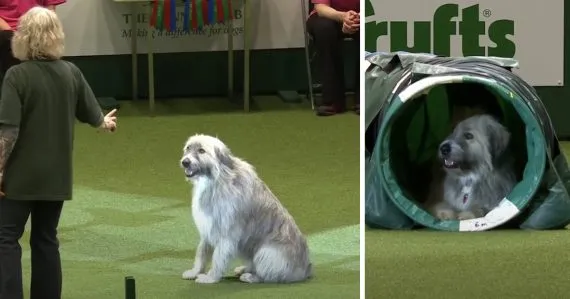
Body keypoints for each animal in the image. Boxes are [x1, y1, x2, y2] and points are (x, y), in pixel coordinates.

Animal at [178, 135, 310, 284]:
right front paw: (195, 271)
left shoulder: (227, 234)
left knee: (268, 275)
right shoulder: (208, 229)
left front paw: (211, 277)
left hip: (266, 252)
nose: (185, 162)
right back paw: (245, 269)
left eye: (201, 150)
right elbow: (202, 253)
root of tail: (306, 270)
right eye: (188, 148)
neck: (217, 179)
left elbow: (218, 256)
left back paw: (251, 276)